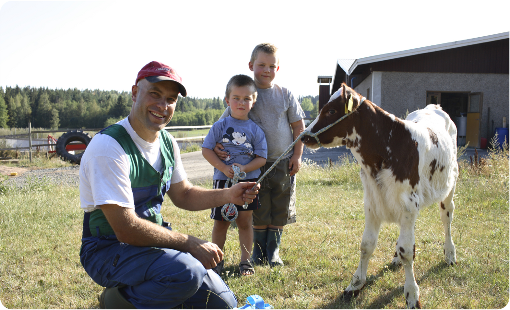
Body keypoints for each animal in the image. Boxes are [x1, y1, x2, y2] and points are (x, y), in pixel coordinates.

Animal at [302, 82, 458, 308]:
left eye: (331, 111)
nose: (304, 136)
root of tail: (433, 106)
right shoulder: (373, 202)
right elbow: (367, 245)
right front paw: (355, 285)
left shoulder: (408, 204)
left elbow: (407, 251)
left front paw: (412, 294)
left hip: (449, 185)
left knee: (446, 218)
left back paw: (450, 254)